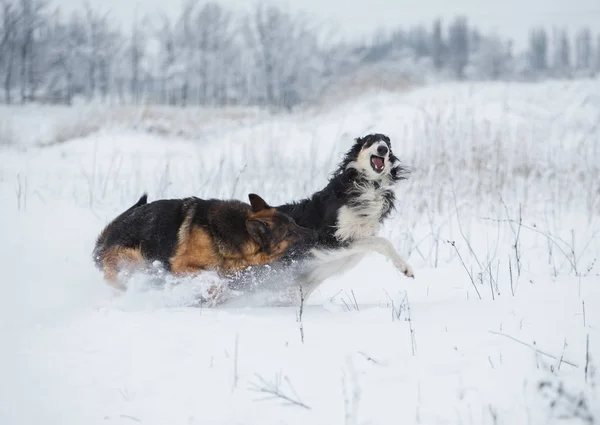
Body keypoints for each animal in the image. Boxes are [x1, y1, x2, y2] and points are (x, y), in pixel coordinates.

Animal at [92, 192, 318, 292]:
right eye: (290, 232)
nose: (316, 233)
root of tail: (104, 239)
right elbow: (212, 277)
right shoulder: (182, 267)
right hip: (133, 260)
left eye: (294, 224)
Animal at [274, 132, 414, 298]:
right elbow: (382, 242)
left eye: (387, 142)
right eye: (370, 140)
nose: (383, 149)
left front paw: (405, 268)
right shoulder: (329, 238)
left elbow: (377, 244)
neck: (369, 186)